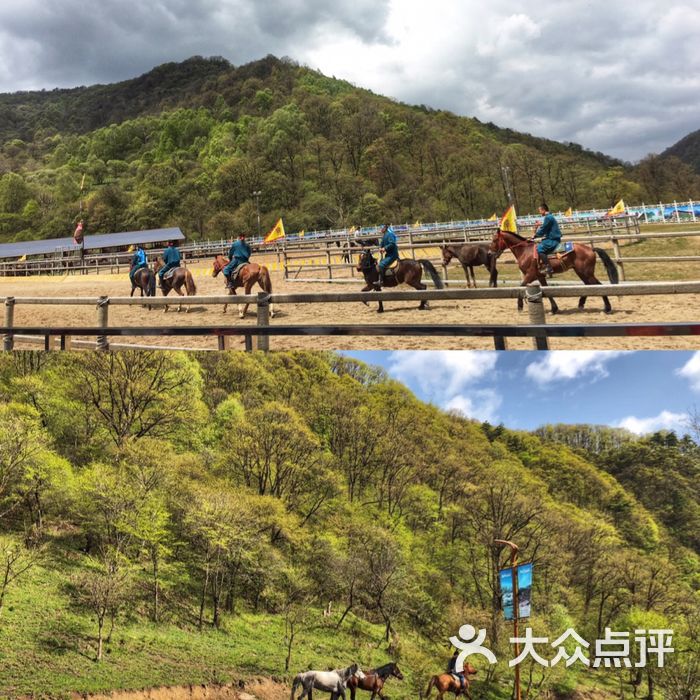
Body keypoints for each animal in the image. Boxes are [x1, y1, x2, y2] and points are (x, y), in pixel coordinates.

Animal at [490, 228, 620, 314]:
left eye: (495, 239)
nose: (490, 253)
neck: (525, 251)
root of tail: (590, 249)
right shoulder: (540, 276)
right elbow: (547, 291)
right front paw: (554, 309)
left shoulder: (530, 274)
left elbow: (521, 287)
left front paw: (520, 306)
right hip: (581, 272)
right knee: (589, 286)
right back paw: (581, 304)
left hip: (586, 273)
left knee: (598, 286)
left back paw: (607, 308)